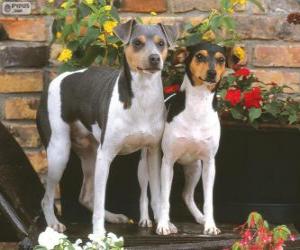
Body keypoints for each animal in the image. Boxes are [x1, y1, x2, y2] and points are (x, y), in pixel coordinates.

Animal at [37, 19, 178, 234]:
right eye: (137, 43)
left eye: (161, 43)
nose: (154, 58)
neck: (143, 97)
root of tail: (52, 83)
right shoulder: (106, 157)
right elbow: (99, 200)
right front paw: (98, 234)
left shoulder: (153, 153)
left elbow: (157, 195)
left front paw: (163, 224)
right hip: (59, 153)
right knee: (47, 199)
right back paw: (53, 223)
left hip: (90, 156)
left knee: (86, 197)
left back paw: (113, 216)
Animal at [139, 42, 239, 235]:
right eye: (199, 56)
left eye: (221, 59)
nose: (212, 73)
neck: (198, 105)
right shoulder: (168, 162)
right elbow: (164, 199)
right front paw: (163, 225)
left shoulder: (209, 163)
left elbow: (208, 200)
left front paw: (210, 225)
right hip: (145, 165)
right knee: (144, 193)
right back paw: (145, 219)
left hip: (195, 168)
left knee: (186, 195)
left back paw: (200, 217)